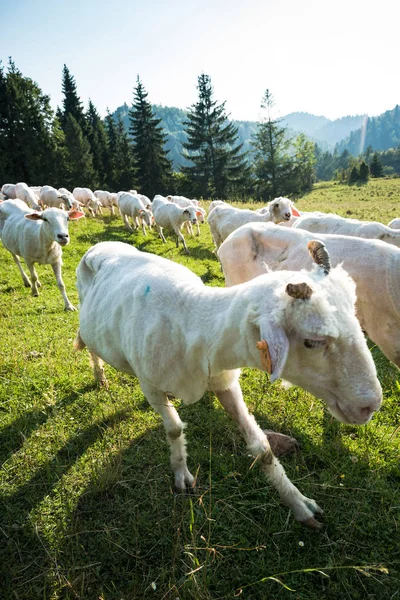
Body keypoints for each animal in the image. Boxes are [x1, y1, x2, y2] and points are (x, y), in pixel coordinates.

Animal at [74, 241, 382, 528]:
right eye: (312, 341)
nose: (371, 405)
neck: (193, 317)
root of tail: (102, 245)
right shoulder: (150, 386)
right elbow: (174, 429)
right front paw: (181, 474)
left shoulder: (224, 382)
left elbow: (262, 449)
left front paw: (299, 504)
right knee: (89, 345)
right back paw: (100, 377)